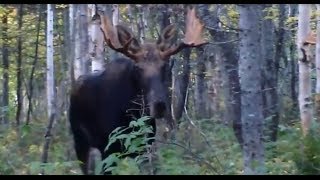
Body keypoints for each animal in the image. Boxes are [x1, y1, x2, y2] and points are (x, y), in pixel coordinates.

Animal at [68, 6, 206, 174]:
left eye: (164, 66)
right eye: (138, 68)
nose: (159, 105)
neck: (131, 113)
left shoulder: (144, 145)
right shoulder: (108, 147)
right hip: (80, 140)